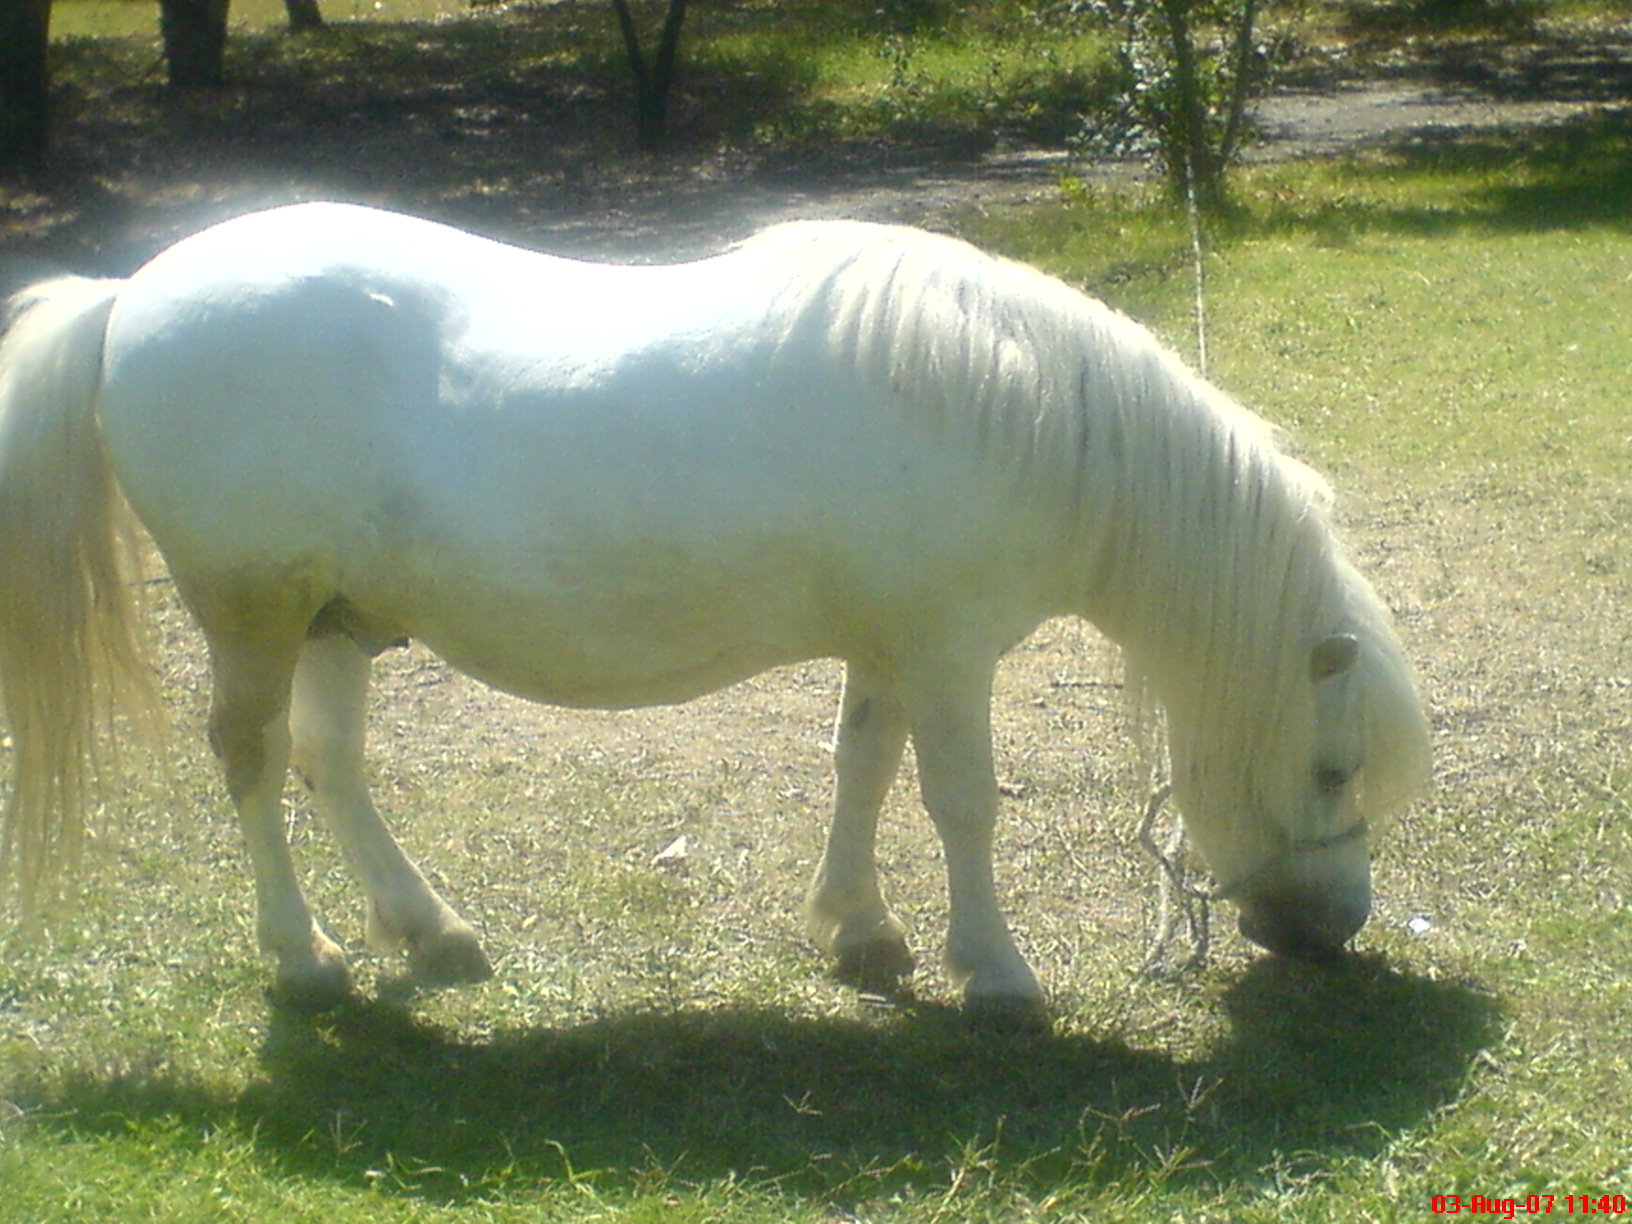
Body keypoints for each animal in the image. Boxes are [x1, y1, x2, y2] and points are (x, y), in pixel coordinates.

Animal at [0, 203, 1429, 1012]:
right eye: (1331, 766)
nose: (1333, 934)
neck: (1019, 406)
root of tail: (131, 294)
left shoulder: (890, 645)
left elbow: (863, 767)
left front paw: (861, 934)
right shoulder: (949, 649)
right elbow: (961, 801)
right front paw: (996, 973)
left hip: (339, 620)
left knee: (327, 761)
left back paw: (430, 933)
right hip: (252, 613)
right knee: (248, 763)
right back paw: (304, 960)